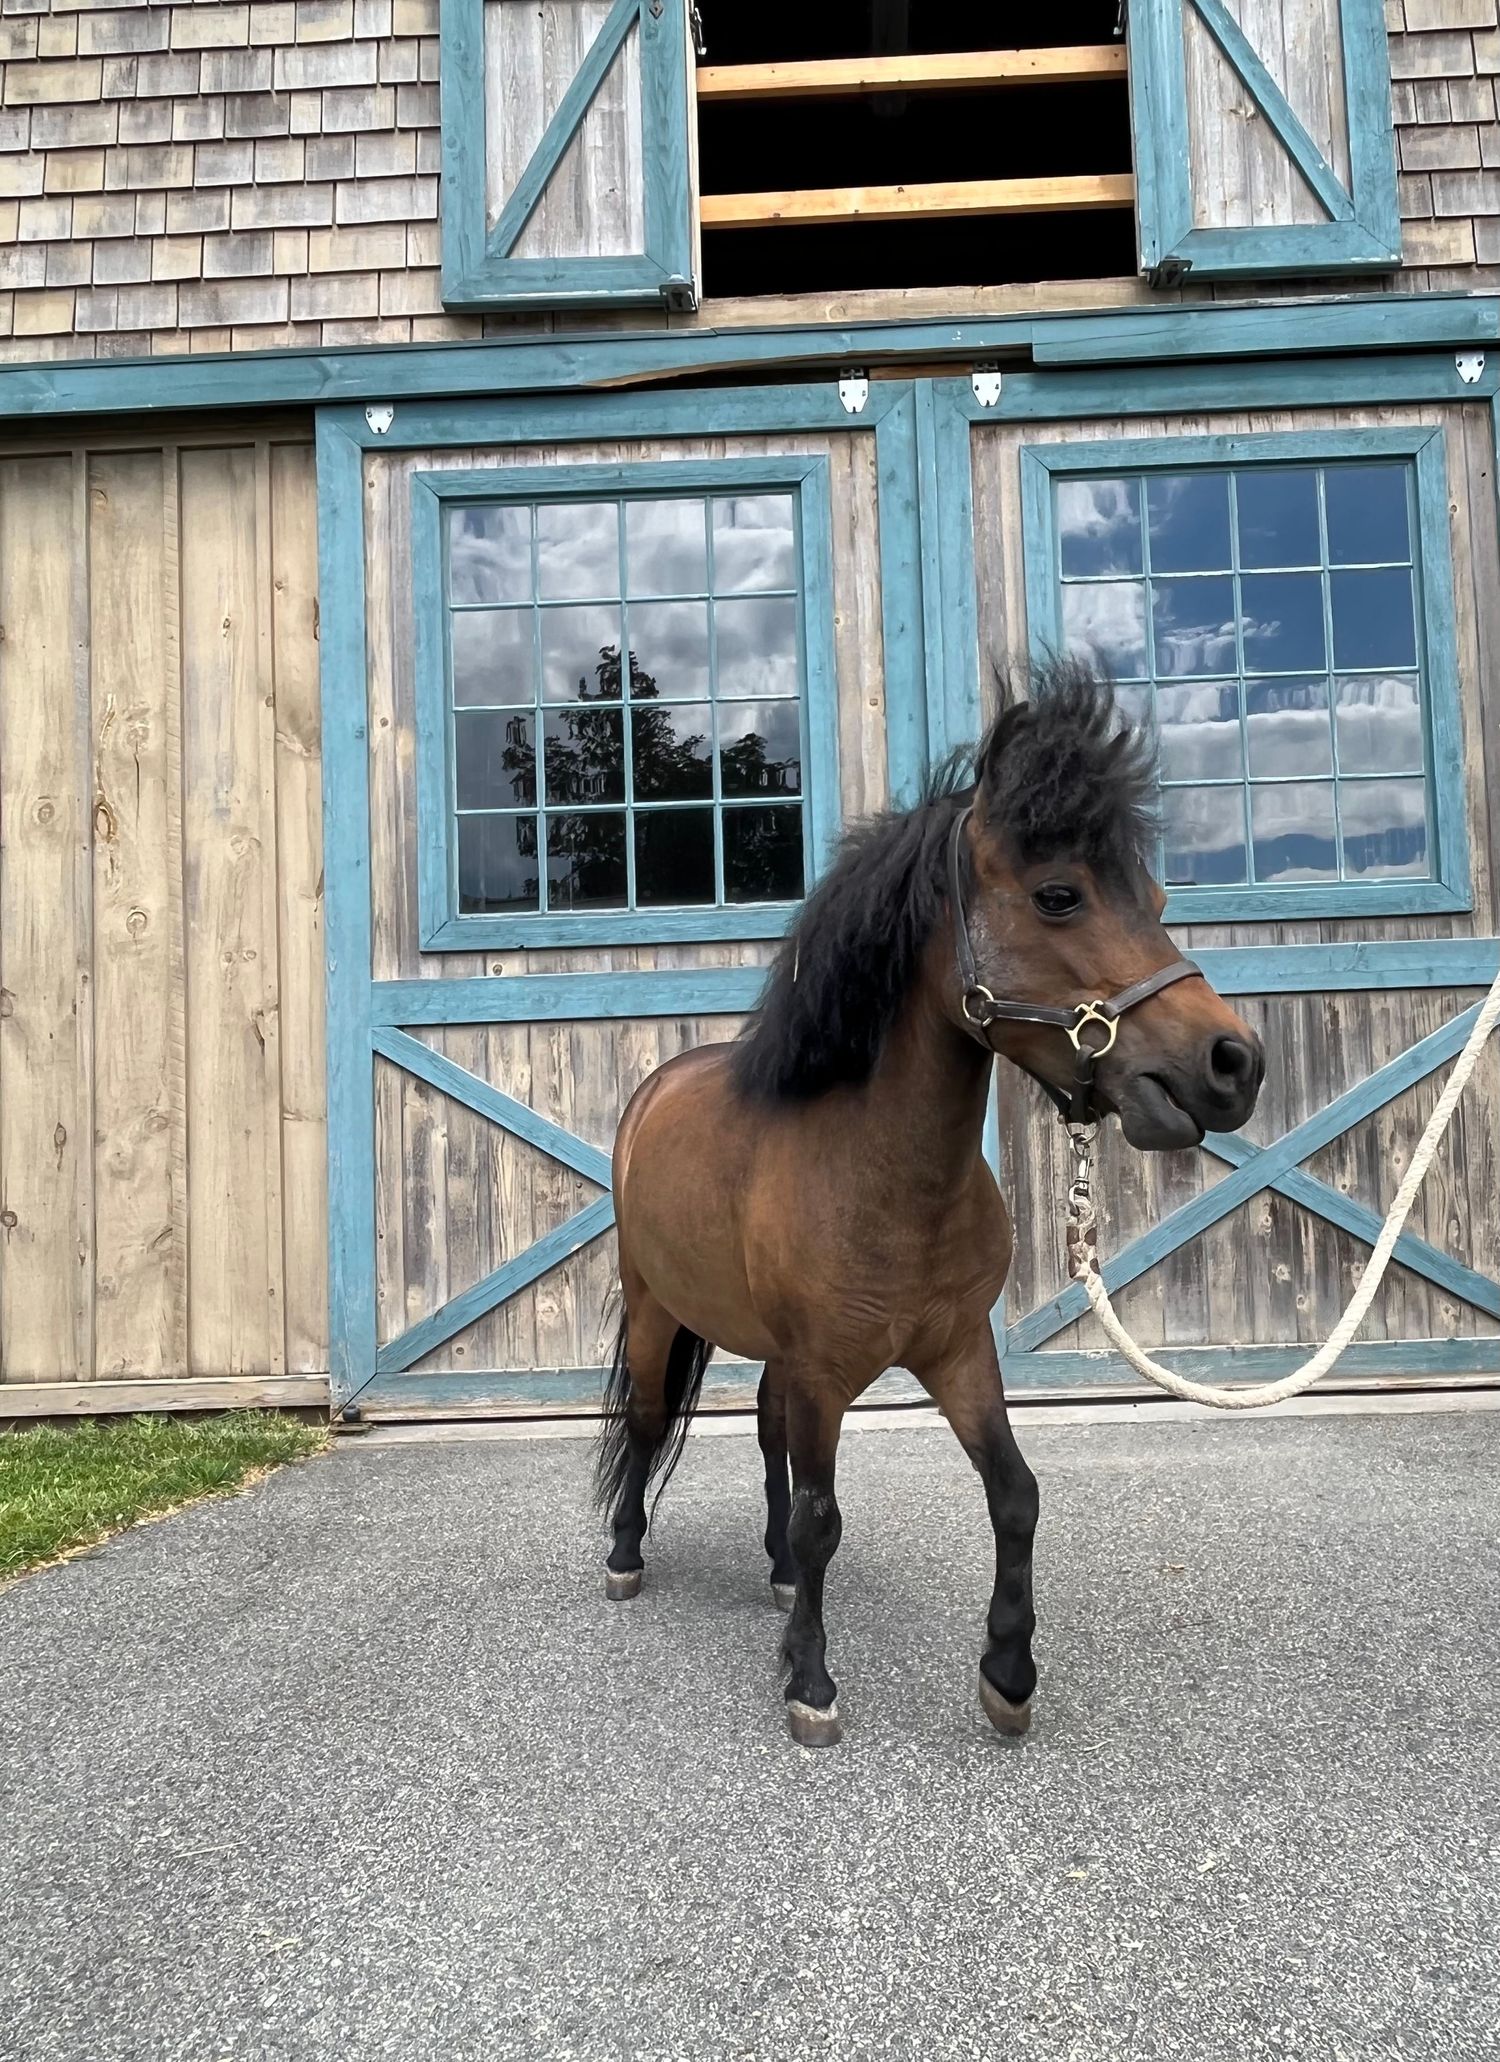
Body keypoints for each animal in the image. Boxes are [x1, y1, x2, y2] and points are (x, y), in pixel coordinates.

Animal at [594, 655, 1262, 1740]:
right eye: (1059, 894)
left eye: (1158, 896)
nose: (1233, 1066)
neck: (884, 1181)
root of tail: (652, 1092)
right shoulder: (827, 1371)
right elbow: (824, 1515)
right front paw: (811, 1683)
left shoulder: (956, 1352)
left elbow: (1015, 1494)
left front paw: (1008, 1672)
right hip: (659, 1311)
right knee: (651, 1423)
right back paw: (624, 1555)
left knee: (765, 1433)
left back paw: (776, 1578)